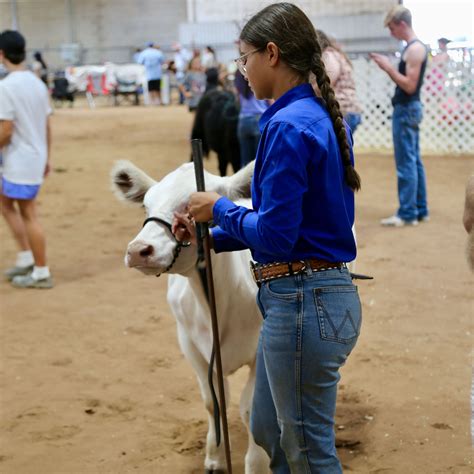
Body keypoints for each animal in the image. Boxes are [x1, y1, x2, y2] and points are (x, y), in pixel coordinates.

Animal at [109, 161, 268, 472]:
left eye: (192, 207)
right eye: (146, 206)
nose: (138, 251)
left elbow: (250, 409)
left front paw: (258, 463)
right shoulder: (190, 344)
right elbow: (213, 401)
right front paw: (215, 457)